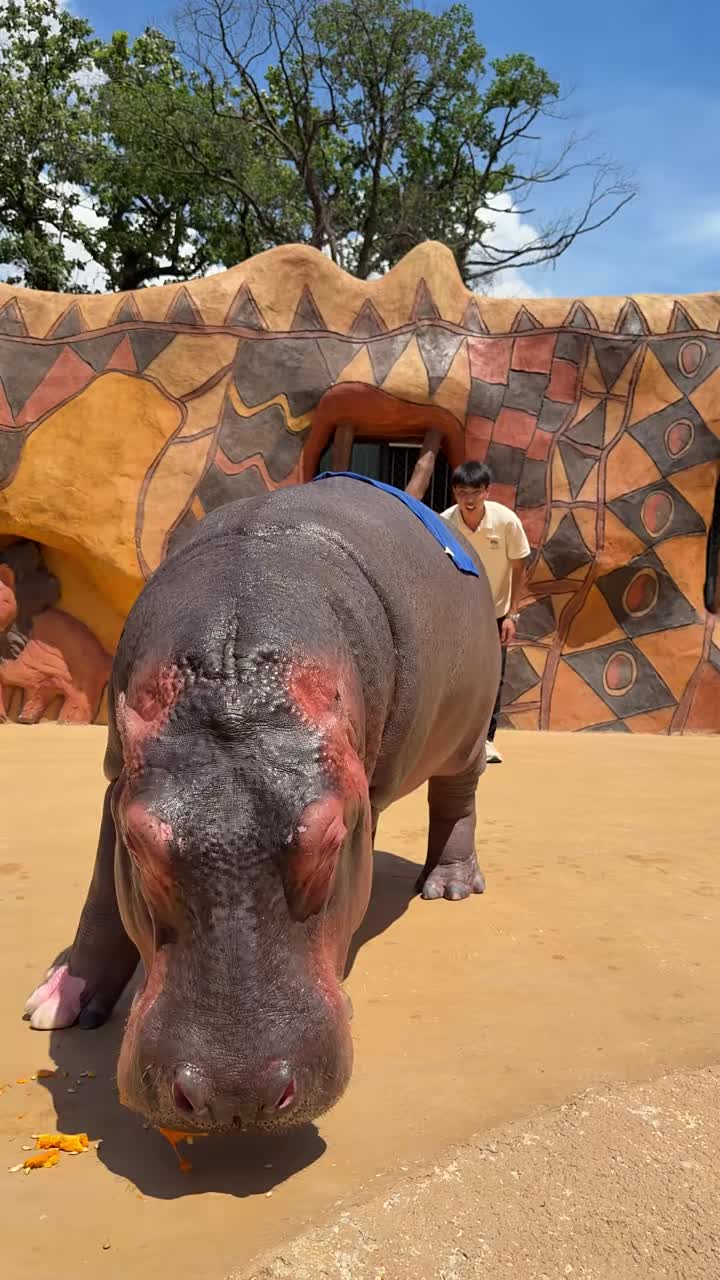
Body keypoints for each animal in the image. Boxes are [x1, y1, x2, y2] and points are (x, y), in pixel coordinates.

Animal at [24, 477, 500, 1134]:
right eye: (140, 846)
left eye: (331, 841)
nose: (234, 1095)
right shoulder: (118, 777)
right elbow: (101, 892)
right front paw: (58, 1001)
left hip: (467, 730)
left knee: (457, 796)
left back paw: (448, 886)